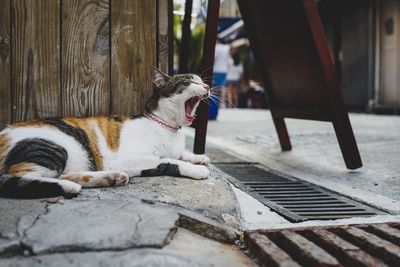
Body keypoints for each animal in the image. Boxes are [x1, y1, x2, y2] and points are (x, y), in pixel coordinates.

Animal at [0, 69, 211, 199]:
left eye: (201, 81)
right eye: (189, 81)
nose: (207, 86)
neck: (169, 128)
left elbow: (180, 154)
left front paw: (199, 157)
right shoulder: (126, 158)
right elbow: (167, 160)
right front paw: (196, 169)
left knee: (65, 174)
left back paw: (110, 178)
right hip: (52, 147)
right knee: (19, 177)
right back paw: (69, 187)